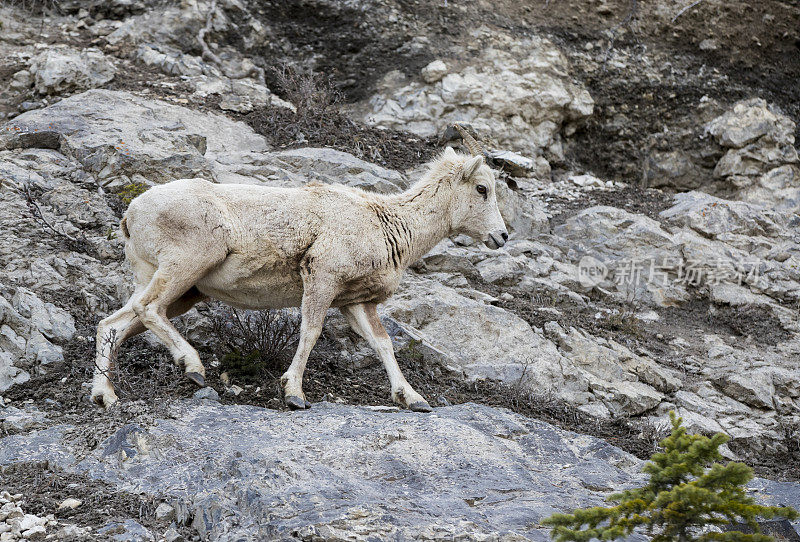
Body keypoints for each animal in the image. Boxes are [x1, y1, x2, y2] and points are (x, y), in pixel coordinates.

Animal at [92, 132, 506, 412]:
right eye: (482, 189)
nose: (501, 237)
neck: (388, 224)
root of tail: (131, 214)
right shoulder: (321, 278)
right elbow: (311, 331)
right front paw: (294, 394)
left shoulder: (356, 303)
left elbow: (382, 344)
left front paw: (414, 399)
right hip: (186, 266)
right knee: (148, 308)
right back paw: (192, 367)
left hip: (179, 289)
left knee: (113, 324)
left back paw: (106, 396)